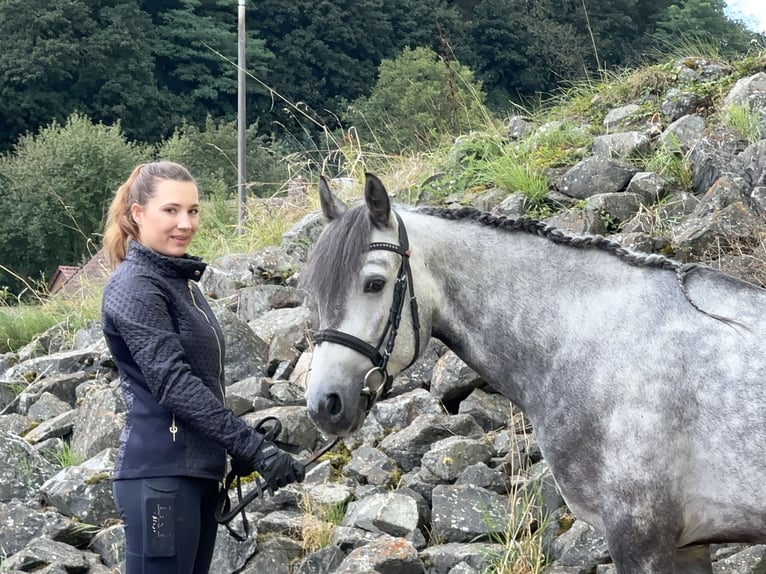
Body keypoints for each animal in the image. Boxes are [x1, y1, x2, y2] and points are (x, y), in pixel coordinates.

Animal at [302, 172, 766, 574]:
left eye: (375, 284)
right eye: (316, 293)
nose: (324, 404)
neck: (599, 340)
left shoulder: (642, 542)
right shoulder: (687, 547)